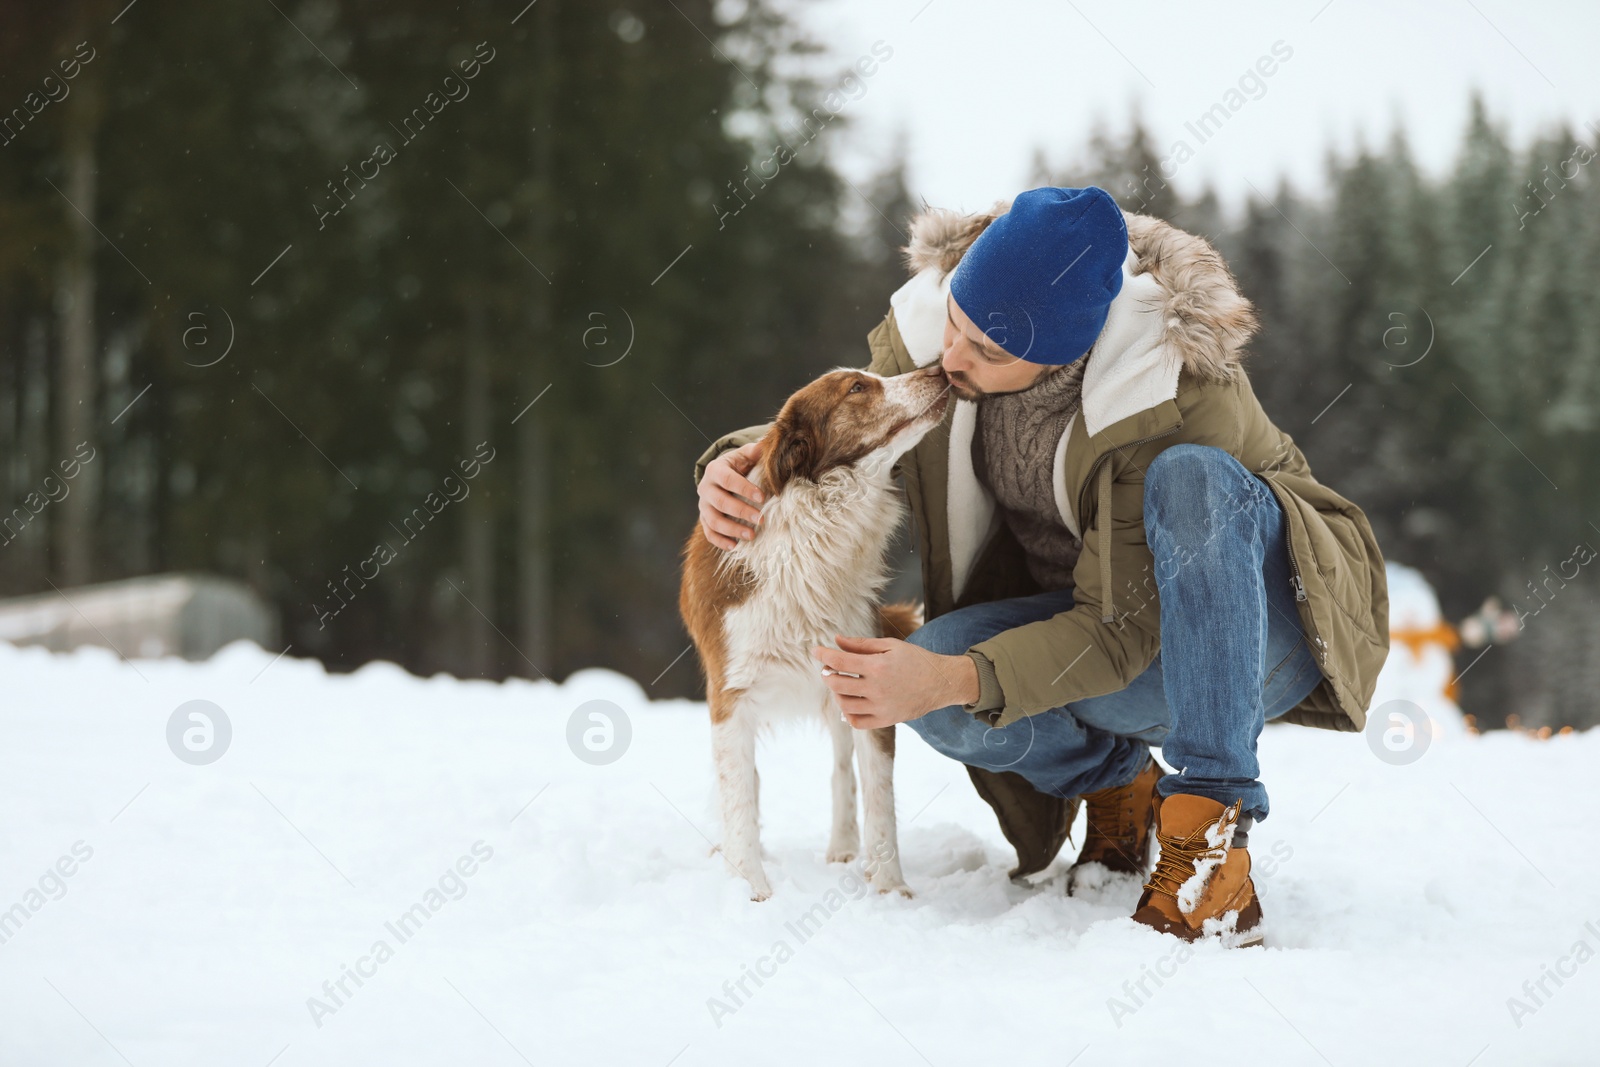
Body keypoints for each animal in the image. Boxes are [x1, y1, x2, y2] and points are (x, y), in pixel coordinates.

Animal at [678, 363, 947, 895]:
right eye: (858, 387)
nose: (938, 368)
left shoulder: (868, 680)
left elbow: (879, 799)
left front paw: (889, 888)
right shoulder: (730, 698)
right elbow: (739, 798)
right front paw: (751, 889)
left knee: (842, 769)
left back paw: (843, 847)